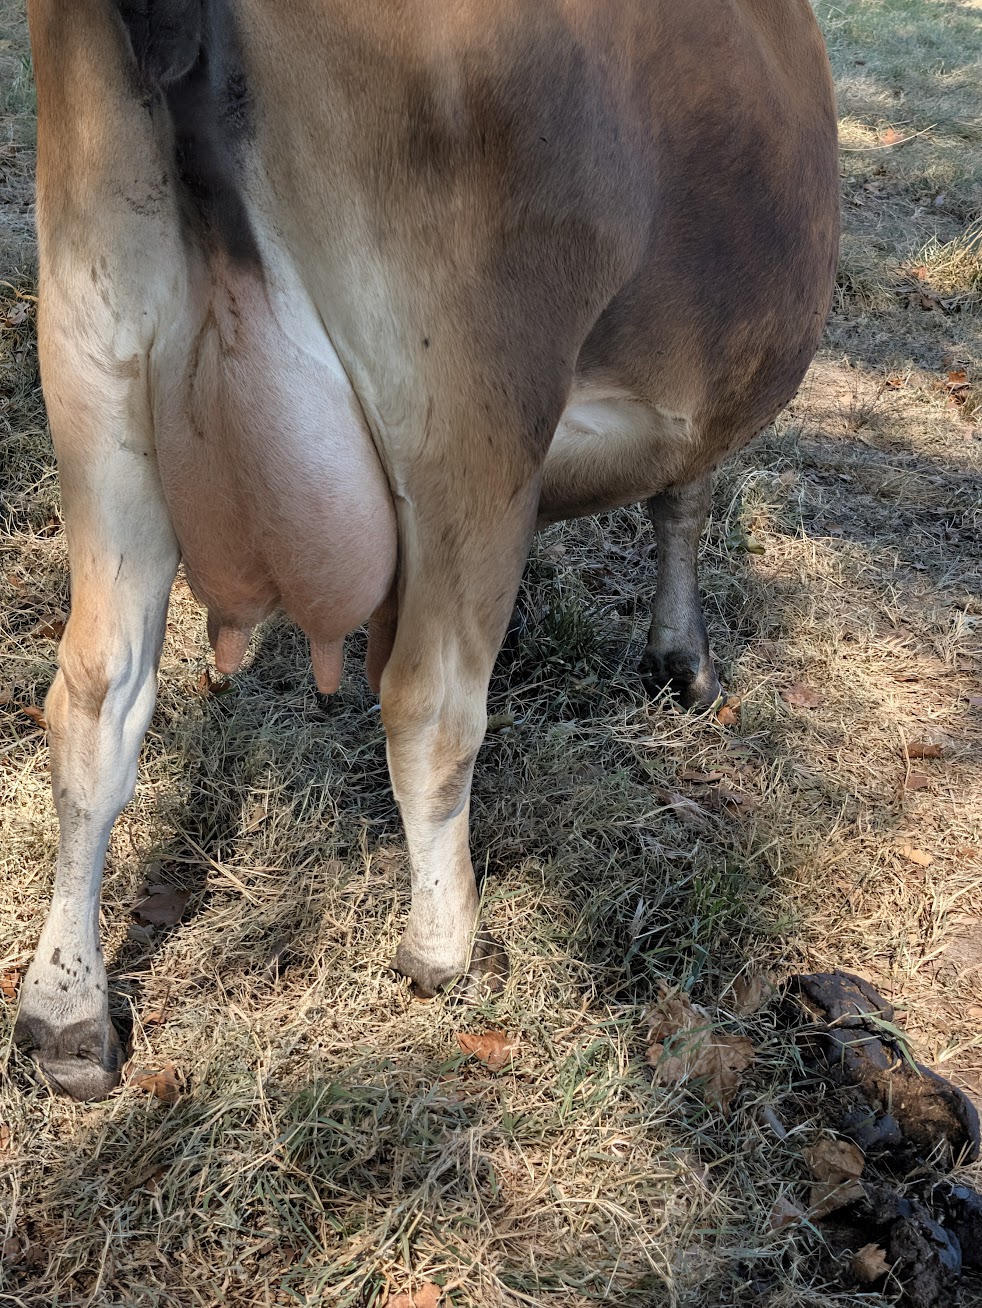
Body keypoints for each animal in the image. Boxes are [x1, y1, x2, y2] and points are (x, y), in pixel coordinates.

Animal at [14, 0, 838, 1101]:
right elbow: (688, 497)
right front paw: (684, 662)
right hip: (472, 414)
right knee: (430, 704)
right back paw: (445, 944)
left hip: (95, 365)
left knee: (94, 694)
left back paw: (65, 1017)